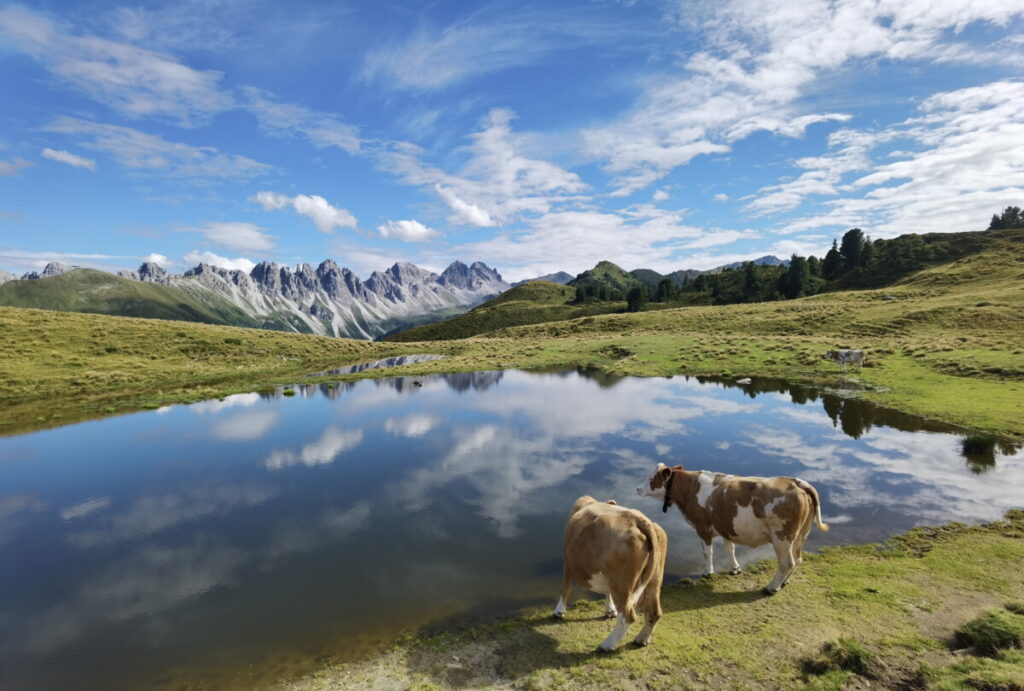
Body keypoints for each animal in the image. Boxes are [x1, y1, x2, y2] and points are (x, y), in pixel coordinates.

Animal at [557, 495, 667, 651]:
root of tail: (639, 519)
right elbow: (607, 592)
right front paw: (610, 610)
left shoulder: (568, 563)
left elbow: (565, 587)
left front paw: (559, 611)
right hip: (654, 578)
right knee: (654, 612)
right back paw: (642, 639)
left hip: (621, 583)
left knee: (628, 616)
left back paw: (607, 645)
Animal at [634, 466, 827, 597]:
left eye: (652, 478)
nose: (637, 488)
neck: (689, 489)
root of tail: (797, 482)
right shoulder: (724, 525)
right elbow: (730, 548)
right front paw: (735, 568)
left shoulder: (702, 527)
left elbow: (707, 552)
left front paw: (708, 571)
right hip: (801, 534)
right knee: (798, 559)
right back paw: (784, 581)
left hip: (782, 537)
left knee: (787, 562)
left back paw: (772, 587)